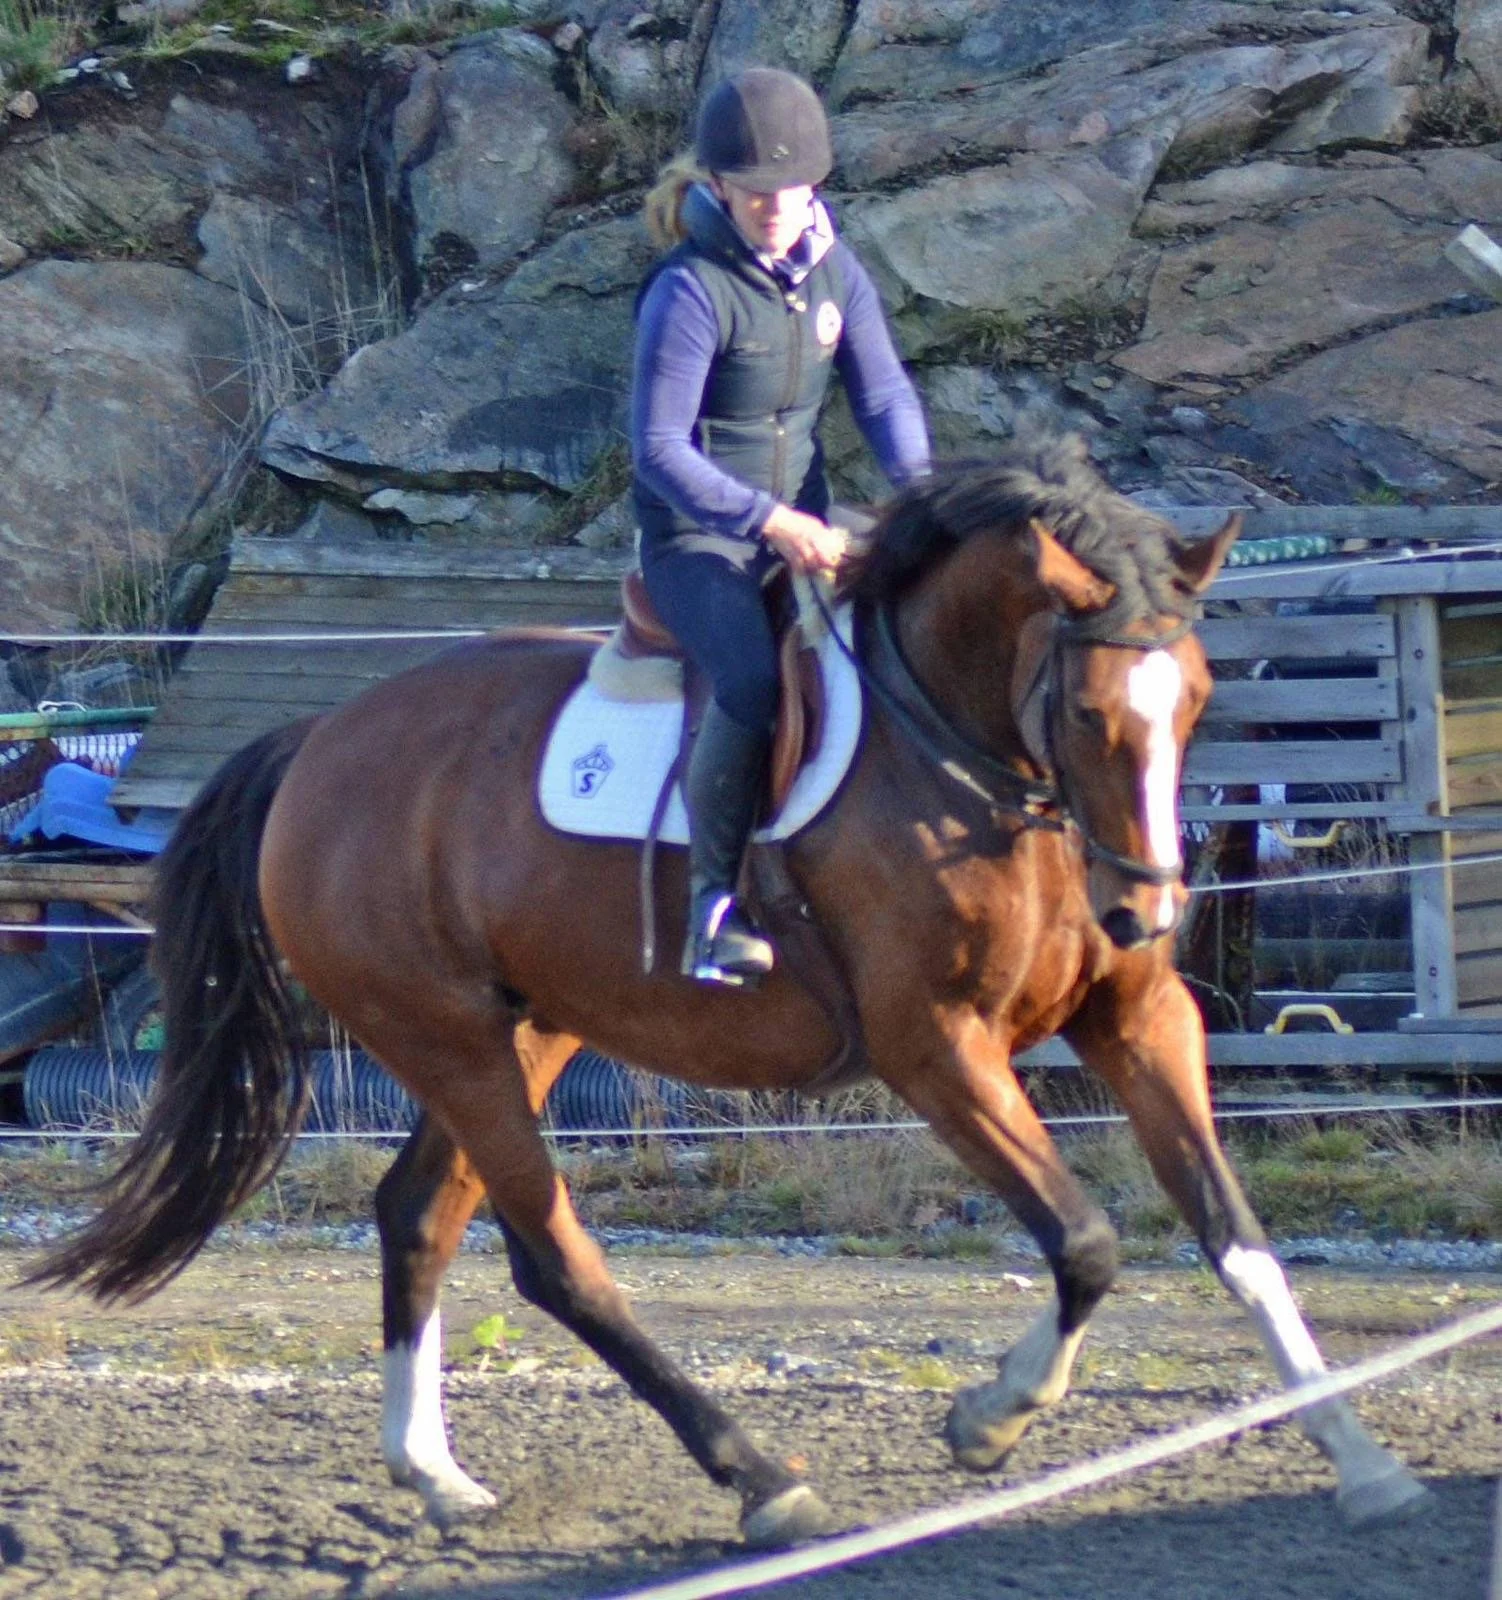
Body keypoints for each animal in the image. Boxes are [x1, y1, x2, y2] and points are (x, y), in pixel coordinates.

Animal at [27, 436, 1428, 1547]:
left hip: (522, 1031)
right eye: (1086, 713)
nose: (1145, 909)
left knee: (418, 1213)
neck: (966, 760)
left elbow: (1236, 1239)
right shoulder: (934, 1045)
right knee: (552, 1256)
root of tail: (315, 743)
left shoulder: (1138, 1021)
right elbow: (1083, 1239)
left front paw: (1360, 1463)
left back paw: (435, 1475)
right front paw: (988, 1419)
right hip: (449, 1037)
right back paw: (758, 1479)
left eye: (1193, 698)